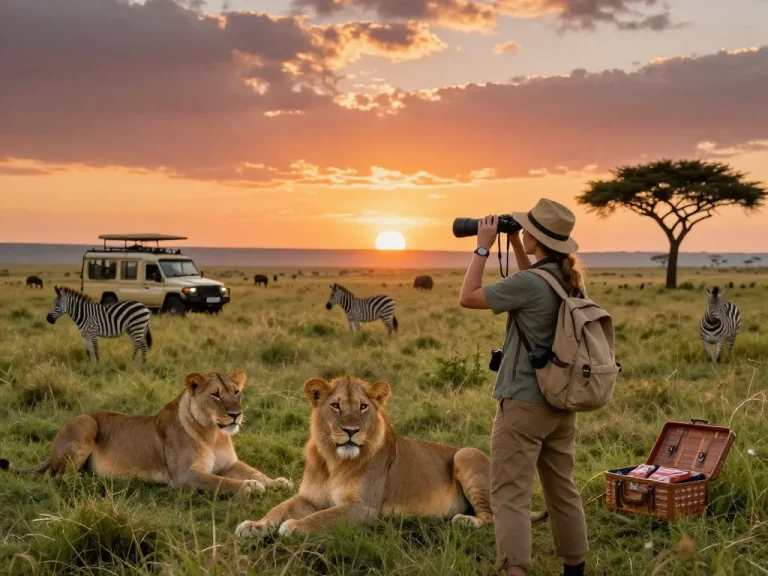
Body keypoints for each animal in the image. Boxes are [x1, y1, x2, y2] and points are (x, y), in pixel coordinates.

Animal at [1, 371, 292, 497]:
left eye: (236, 392)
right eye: (216, 395)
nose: (235, 414)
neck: (213, 434)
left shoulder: (230, 463)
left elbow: (255, 471)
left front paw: (277, 482)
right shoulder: (184, 476)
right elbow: (222, 482)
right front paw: (248, 487)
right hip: (85, 422)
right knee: (61, 478)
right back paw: (93, 482)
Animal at [236, 376, 547, 539]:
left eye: (363, 407)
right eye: (336, 406)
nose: (351, 431)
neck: (334, 461)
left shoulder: (364, 508)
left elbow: (323, 516)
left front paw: (296, 526)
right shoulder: (308, 497)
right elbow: (279, 508)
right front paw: (255, 526)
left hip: (466, 454)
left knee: (492, 517)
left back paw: (464, 521)